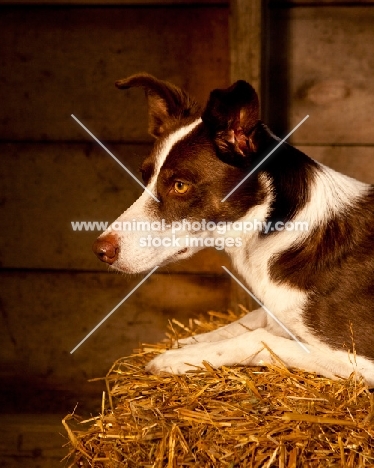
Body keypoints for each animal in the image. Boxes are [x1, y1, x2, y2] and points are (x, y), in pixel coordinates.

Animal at [93, 74, 374, 388]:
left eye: (180, 185)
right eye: (145, 178)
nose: (100, 250)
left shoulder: (361, 360)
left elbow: (260, 338)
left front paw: (177, 357)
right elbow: (251, 320)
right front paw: (189, 342)